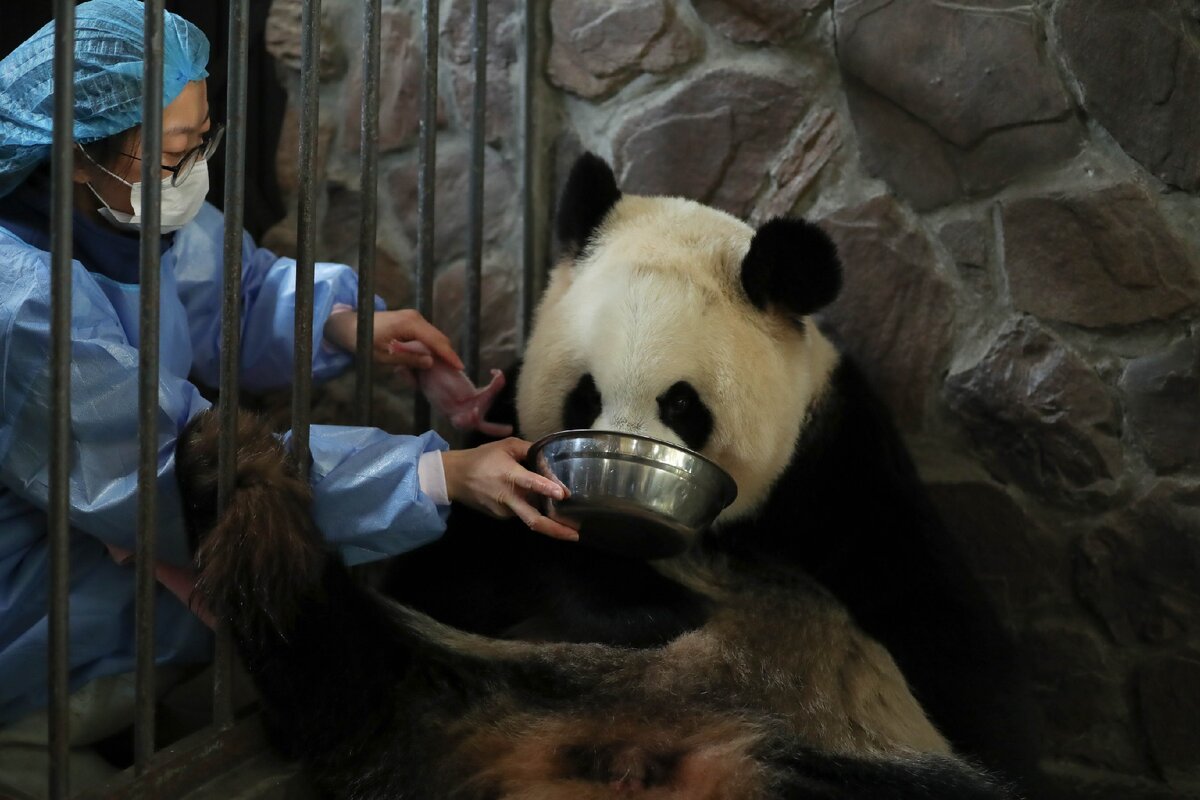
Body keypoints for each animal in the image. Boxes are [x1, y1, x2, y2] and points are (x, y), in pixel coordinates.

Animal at [180, 153, 1032, 796]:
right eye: (584, 396)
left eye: (683, 404)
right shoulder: (510, 439)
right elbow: (464, 569)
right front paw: (634, 598)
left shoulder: (835, 465)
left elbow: (946, 640)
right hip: (473, 692)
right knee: (349, 673)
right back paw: (237, 475)